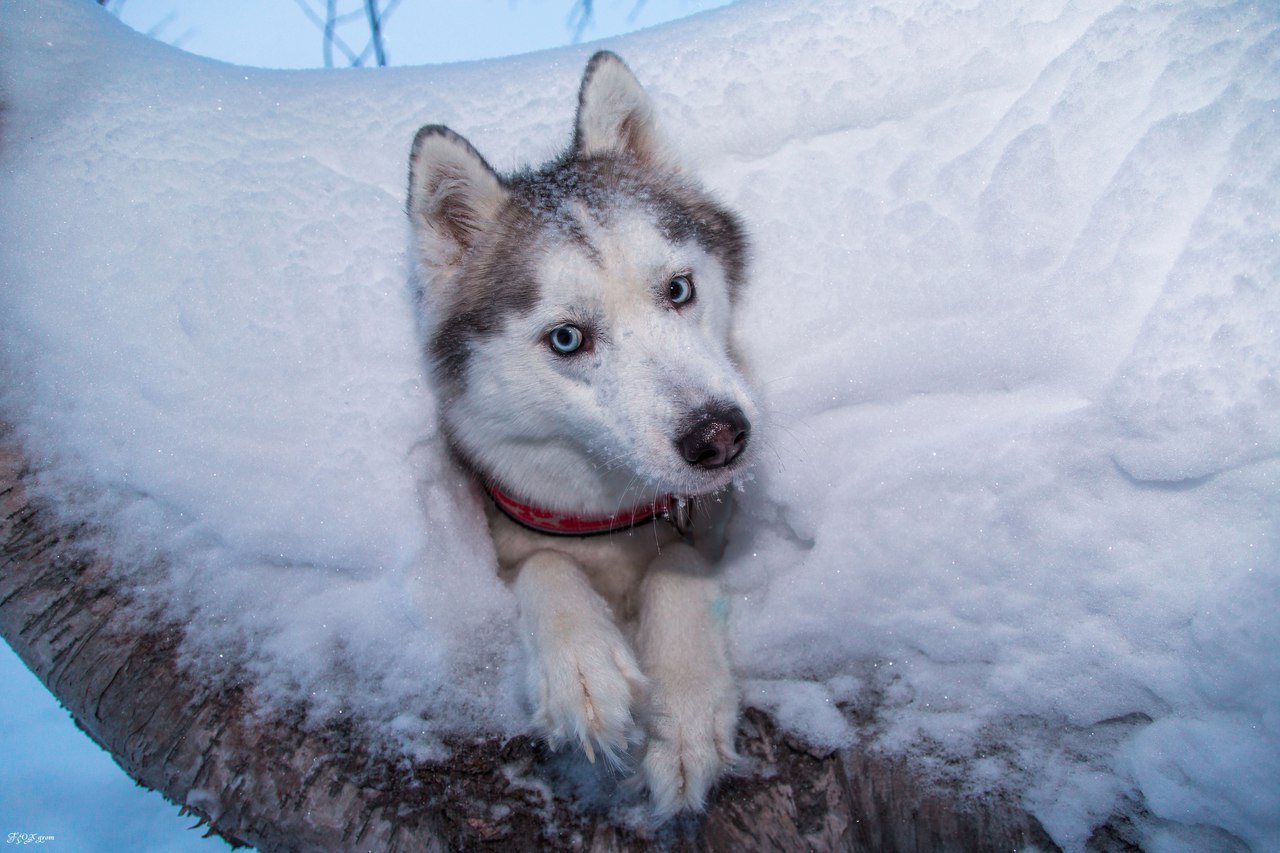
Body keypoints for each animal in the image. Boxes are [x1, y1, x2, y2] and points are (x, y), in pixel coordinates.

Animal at [404, 53, 752, 819]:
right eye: (567, 338)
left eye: (678, 290)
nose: (720, 436)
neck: (608, 519)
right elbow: (543, 565)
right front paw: (581, 664)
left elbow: (680, 568)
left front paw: (686, 711)